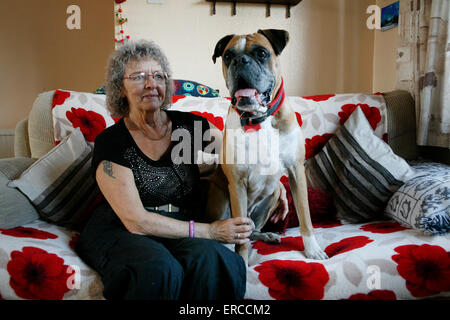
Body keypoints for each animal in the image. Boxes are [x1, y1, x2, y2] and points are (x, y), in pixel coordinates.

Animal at [204, 28, 326, 264]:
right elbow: (240, 239)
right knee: (234, 232)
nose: (240, 61)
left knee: (253, 229)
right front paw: (242, 261)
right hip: (222, 203)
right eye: (228, 56)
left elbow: (305, 216)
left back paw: (267, 235)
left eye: (261, 53)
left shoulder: (296, 171)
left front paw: (312, 249)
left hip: (273, 193)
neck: (258, 120)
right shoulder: (237, 182)